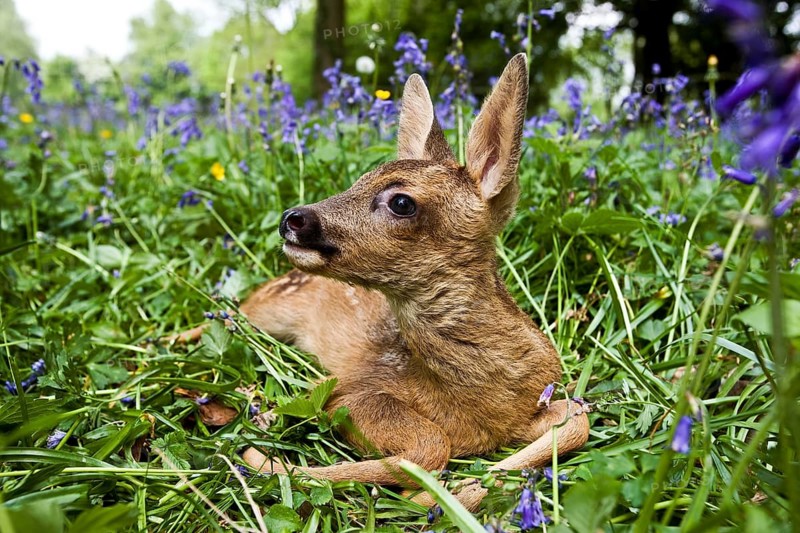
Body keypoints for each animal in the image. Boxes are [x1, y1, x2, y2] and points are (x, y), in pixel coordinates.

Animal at [178, 53, 590, 512]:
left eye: (401, 202)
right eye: (360, 179)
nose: (293, 218)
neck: (479, 403)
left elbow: (578, 420)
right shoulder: (357, 389)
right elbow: (430, 445)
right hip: (267, 312)